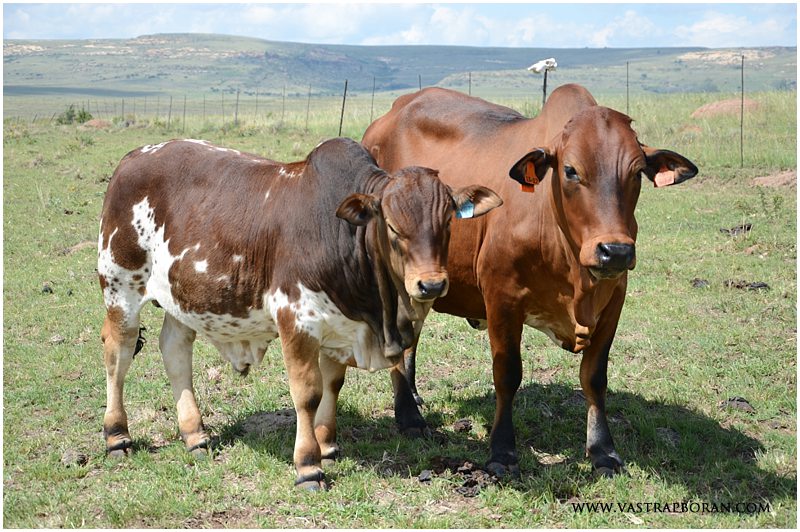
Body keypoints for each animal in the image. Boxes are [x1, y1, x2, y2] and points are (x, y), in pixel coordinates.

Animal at [97, 137, 502, 490]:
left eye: (448, 221)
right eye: (391, 225)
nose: (431, 285)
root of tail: (132, 158)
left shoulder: (340, 326)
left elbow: (332, 385)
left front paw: (327, 445)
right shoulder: (296, 319)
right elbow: (307, 393)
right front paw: (308, 465)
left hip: (181, 299)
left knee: (175, 350)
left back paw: (195, 434)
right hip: (121, 286)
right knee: (118, 353)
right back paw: (117, 435)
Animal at [362, 84, 698, 477]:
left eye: (637, 171)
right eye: (570, 170)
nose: (614, 251)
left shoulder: (614, 300)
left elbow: (594, 377)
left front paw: (603, 450)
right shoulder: (502, 299)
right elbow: (507, 374)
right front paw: (502, 451)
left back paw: (413, 398)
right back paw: (409, 417)